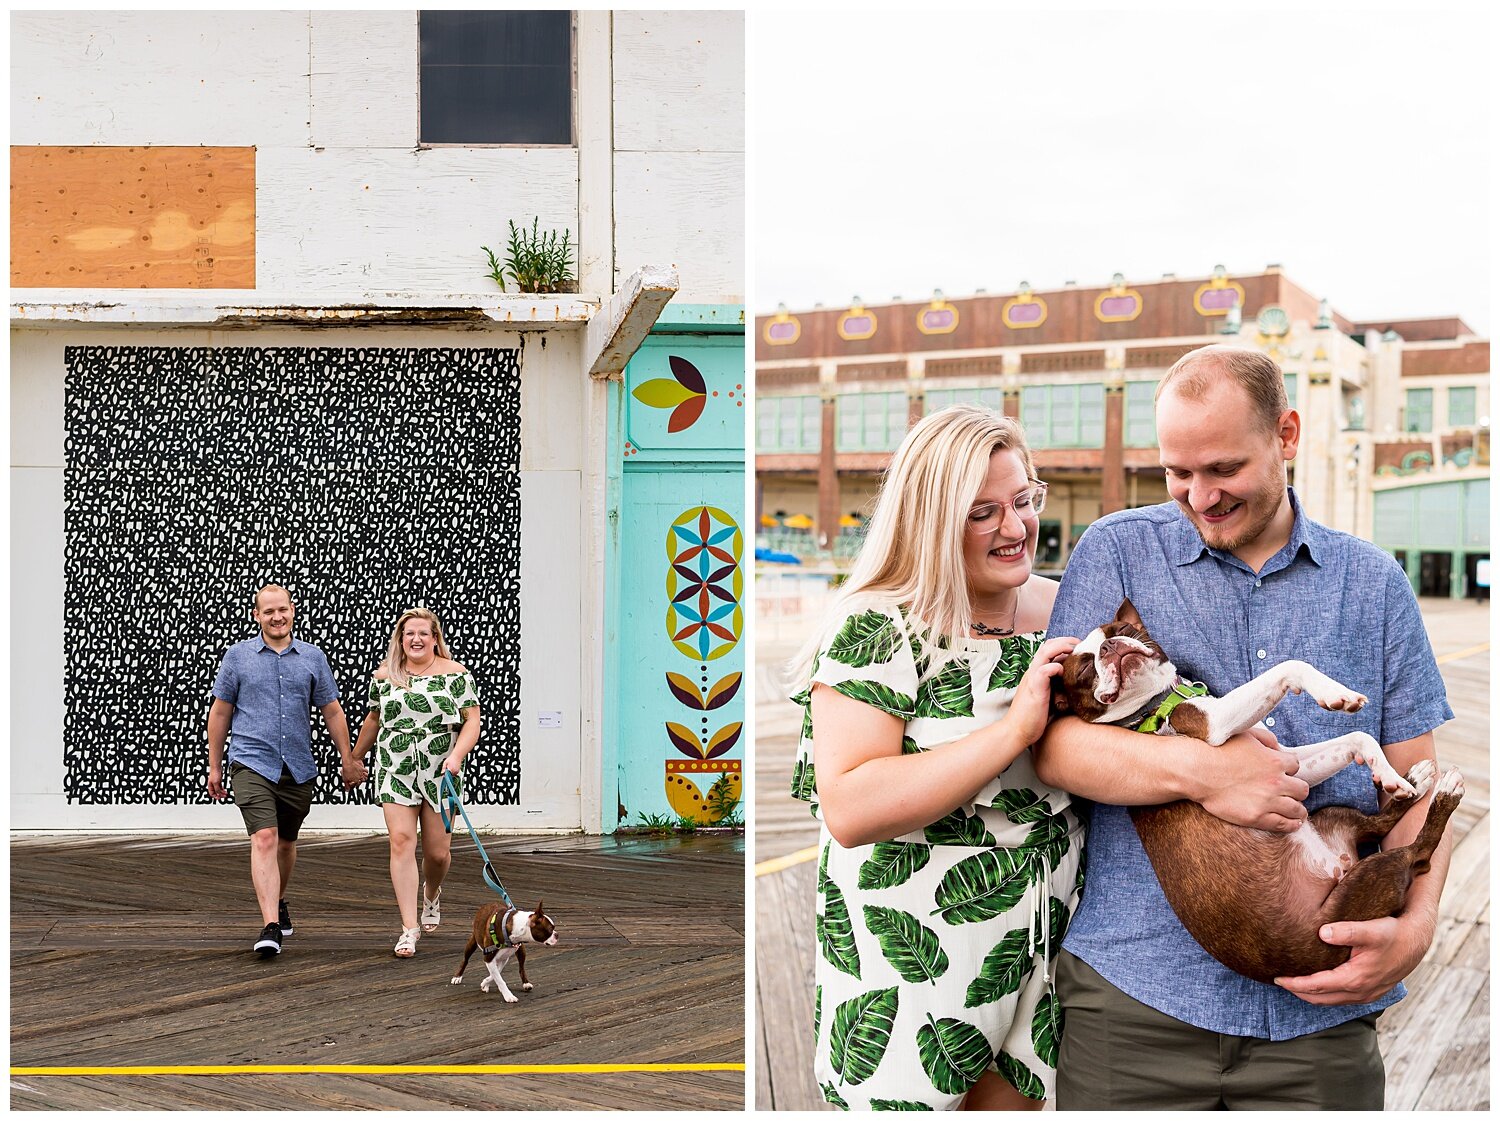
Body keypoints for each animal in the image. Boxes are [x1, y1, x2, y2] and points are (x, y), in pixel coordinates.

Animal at [1050, 606, 1458, 984]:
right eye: (1084, 672)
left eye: (1124, 629)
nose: (1110, 647)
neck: (1154, 705)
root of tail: (1337, 867)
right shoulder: (1213, 727)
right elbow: (1290, 665)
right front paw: (1334, 692)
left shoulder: (1286, 762)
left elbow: (1358, 737)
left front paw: (1387, 774)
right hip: (1360, 891)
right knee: (1417, 855)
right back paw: (1445, 795)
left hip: (1334, 817)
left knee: (1379, 824)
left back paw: (1415, 783)